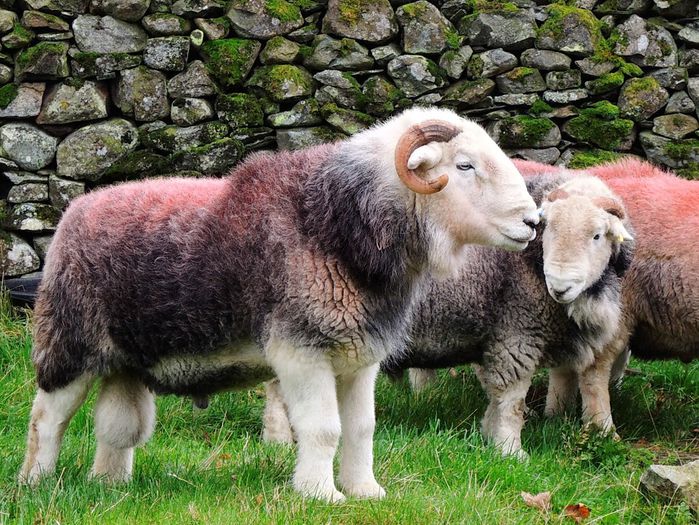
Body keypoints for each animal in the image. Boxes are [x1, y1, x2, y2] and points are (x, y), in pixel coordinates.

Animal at [19, 105, 540, 500]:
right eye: (465, 165)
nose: (533, 222)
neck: (342, 218)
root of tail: (76, 210)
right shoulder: (301, 350)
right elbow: (323, 428)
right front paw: (320, 495)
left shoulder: (359, 355)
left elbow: (362, 427)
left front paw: (365, 492)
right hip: (68, 342)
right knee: (46, 420)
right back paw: (36, 484)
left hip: (126, 361)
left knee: (118, 427)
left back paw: (109, 486)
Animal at [262, 174, 636, 456]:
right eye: (550, 230)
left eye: (597, 235)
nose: (560, 286)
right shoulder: (517, 334)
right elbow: (512, 400)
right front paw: (511, 451)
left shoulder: (499, 338)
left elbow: (497, 397)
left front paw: (490, 435)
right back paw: (279, 440)